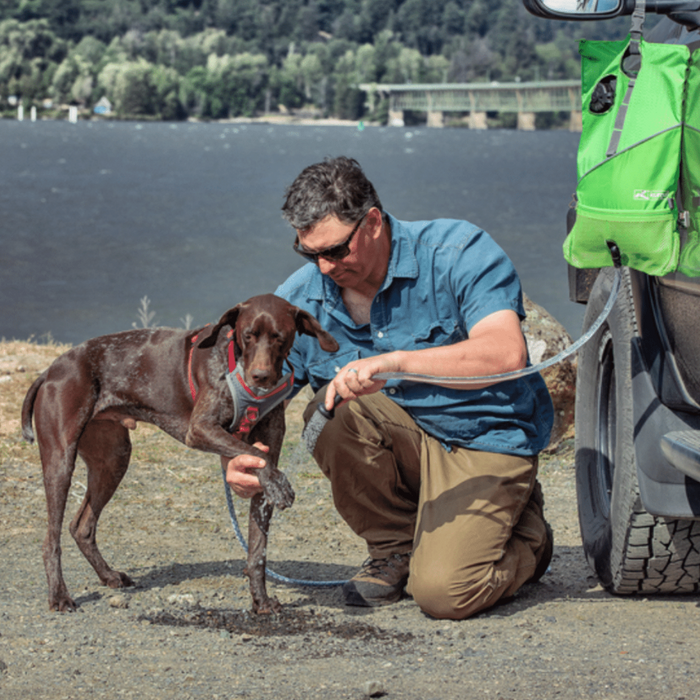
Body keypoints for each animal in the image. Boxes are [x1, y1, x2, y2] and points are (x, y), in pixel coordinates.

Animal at [21, 293, 339, 614]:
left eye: (280, 337)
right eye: (247, 335)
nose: (260, 376)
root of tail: (50, 371)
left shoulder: (265, 464)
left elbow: (258, 550)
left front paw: (260, 600)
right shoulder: (201, 430)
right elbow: (254, 455)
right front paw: (282, 485)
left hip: (113, 459)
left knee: (82, 526)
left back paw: (108, 575)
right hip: (61, 460)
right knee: (51, 540)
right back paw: (59, 595)